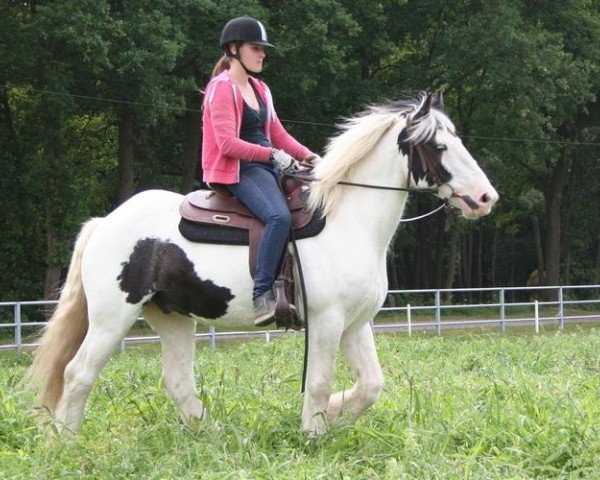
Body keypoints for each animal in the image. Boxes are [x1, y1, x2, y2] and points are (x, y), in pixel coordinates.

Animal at [27, 94, 496, 436]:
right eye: (439, 146)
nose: (486, 197)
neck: (347, 220)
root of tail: (105, 223)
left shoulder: (355, 323)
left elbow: (371, 385)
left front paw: (335, 415)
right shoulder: (327, 321)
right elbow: (319, 382)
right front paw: (312, 434)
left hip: (172, 317)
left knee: (177, 382)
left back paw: (214, 437)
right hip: (112, 318)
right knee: (78, 373)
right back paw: (65, 443)